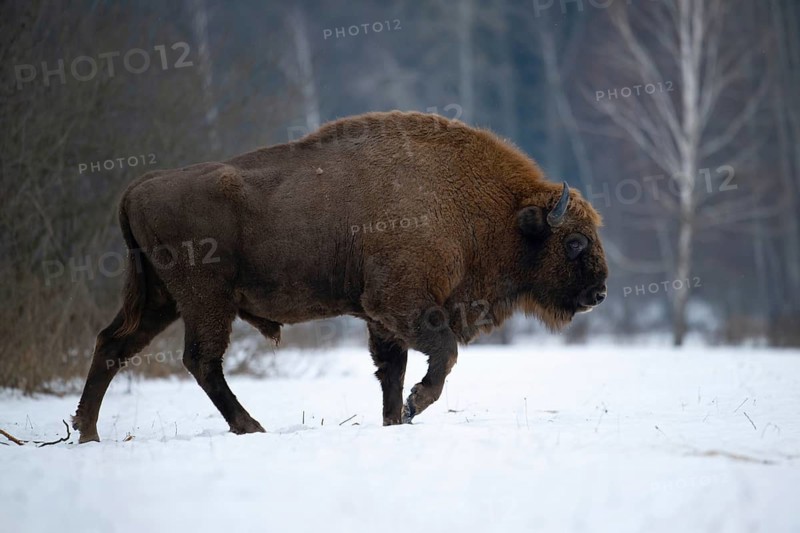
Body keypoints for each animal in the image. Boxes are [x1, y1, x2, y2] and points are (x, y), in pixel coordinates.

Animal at [72, 111, 608, 443]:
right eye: (574, 241)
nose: (600, 292)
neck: (499, 211)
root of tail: (138, 187)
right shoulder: (402, 304)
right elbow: (442, 354)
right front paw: (415, 405)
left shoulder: (383, 319)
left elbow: (391, 370)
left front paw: (396, 420)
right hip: (205, 301)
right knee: (200, 360)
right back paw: (250, 427)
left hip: (162, 299)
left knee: (113, 345)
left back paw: (88, 432)